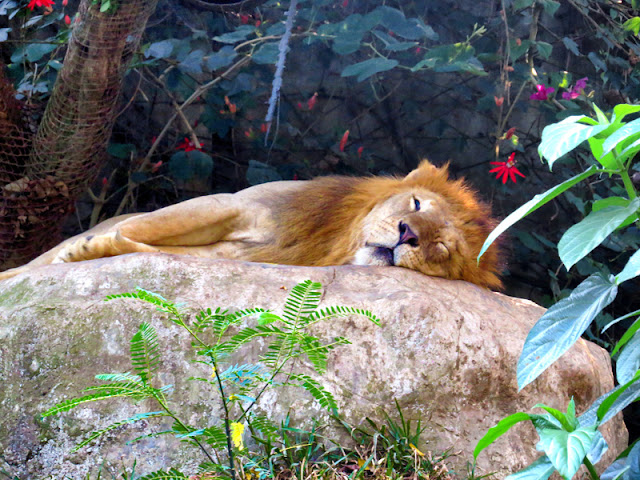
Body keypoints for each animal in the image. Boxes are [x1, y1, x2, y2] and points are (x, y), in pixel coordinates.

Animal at [0, 161, 500, 288]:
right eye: (416, 203)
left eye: (442, 249)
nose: (407, 235)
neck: (328, 245)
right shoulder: (230, 204)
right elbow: (148, 230)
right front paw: (81, 249)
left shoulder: (233, 253)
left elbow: (150, 249)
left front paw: (96, 251)